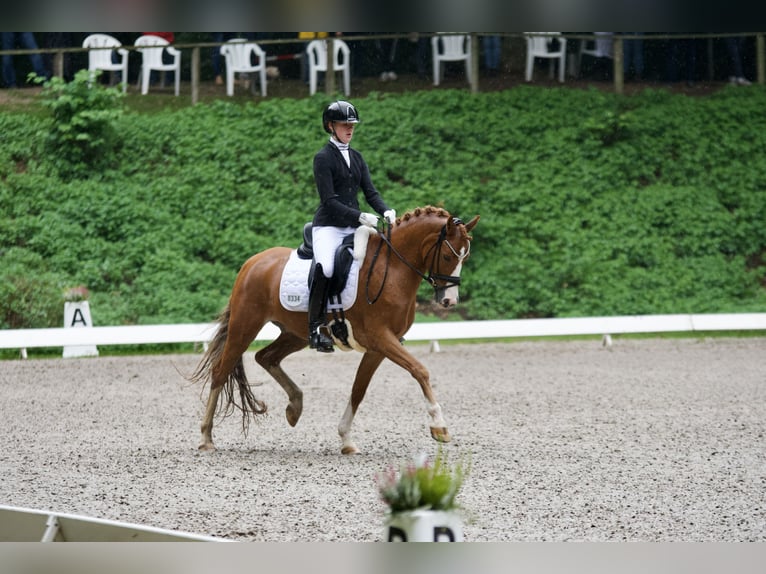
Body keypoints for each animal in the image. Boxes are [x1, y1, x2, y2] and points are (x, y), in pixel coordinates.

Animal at [190, 206, 480, 454]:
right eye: (447, 256)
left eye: (465, 257)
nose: (449, 301)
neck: (392, 269)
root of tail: (252, 262)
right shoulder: (381, 338)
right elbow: (420, 370)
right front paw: (439, 427)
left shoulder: (380, 347)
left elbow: (358, 389)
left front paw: (346, 440)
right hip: (245, 325)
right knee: (221, 371)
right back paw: (206, 437)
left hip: (294, 334)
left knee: (266, 357)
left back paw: (295, 407)